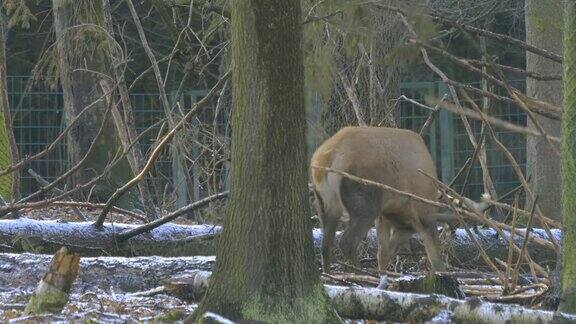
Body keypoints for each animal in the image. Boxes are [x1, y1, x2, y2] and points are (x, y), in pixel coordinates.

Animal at [310, 126, 490, 276]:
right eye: (462, 208)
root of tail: (325, 159)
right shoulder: (422, 213)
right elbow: (435, 257)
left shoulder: (390, 218)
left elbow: (383, 253)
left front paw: (384, 274)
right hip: (364, 202)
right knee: (347, 242)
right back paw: (359, 274)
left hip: (325, 204)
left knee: (325, 246)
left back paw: (329, 275)